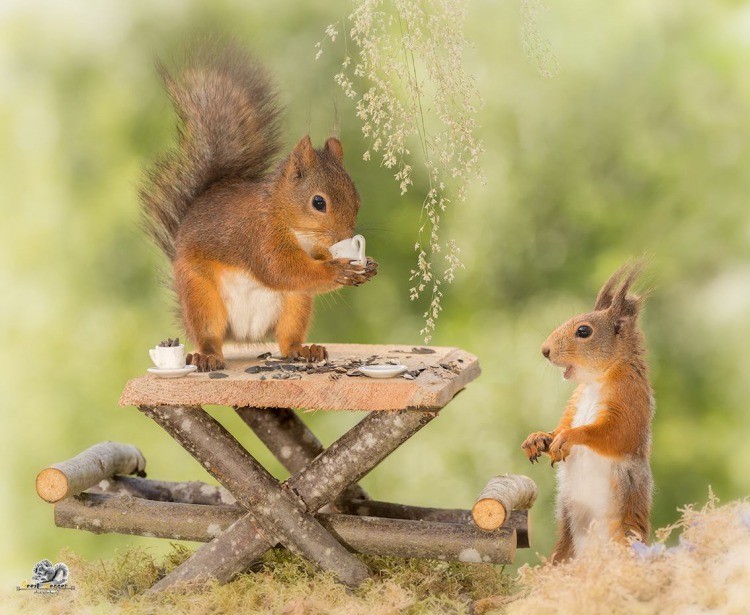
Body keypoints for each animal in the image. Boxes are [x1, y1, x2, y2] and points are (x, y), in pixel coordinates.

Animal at [139, 44, 378, 370]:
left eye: (357, 198)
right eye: (319, 202)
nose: (344, 237)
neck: (284, 214)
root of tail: (243, 336)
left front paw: (367, 266)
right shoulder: (259, 235)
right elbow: (279, 269)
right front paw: (337, 270)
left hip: (296, 303)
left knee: (287, 338)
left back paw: (304, 350)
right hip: (201, 296)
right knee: (210, 335)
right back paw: (207, 356)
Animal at [524, 262, 652, 560]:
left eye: (583, 332)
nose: (545, 350)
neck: (596, 382)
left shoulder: (633, 401)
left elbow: (617, 434)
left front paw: (570, 437)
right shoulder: (575, 402)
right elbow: (559, 427)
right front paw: (539, 438)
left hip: (624, 533)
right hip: (565, 542)